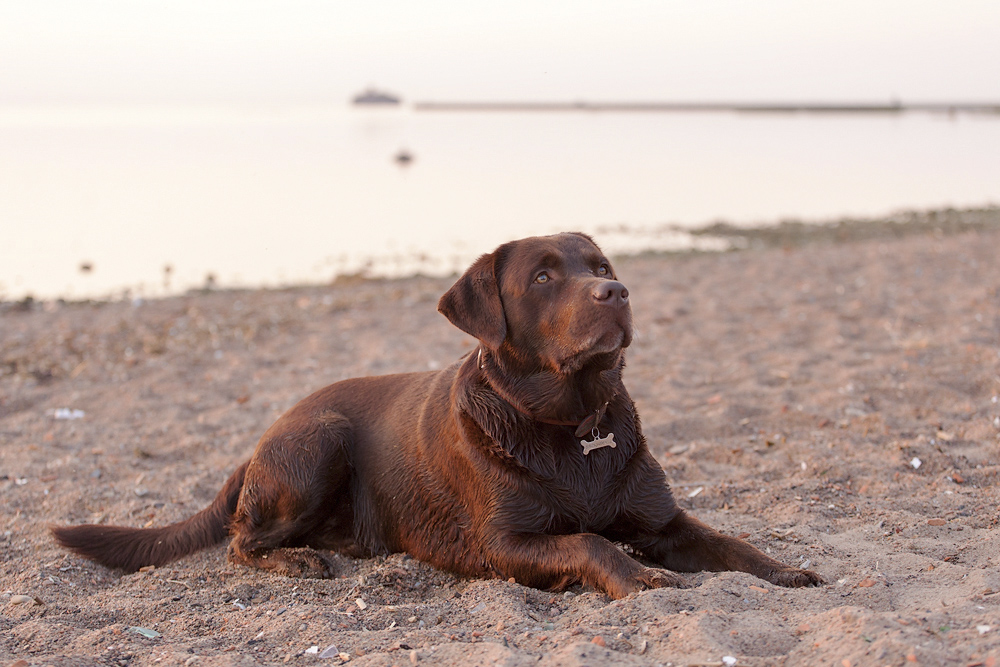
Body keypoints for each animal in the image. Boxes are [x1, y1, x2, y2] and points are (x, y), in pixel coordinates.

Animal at [50, 232, 824, 596]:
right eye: (544, 276)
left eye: (600, 264)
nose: (617, 291)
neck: (572, 429)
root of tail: (262, 438)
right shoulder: (504, 543)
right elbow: (590, 542)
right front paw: (640, 578)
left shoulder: (666, 523)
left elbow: (733, 544)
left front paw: (787, 571)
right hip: (321, 439)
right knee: (242, 540)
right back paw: (296, 559)